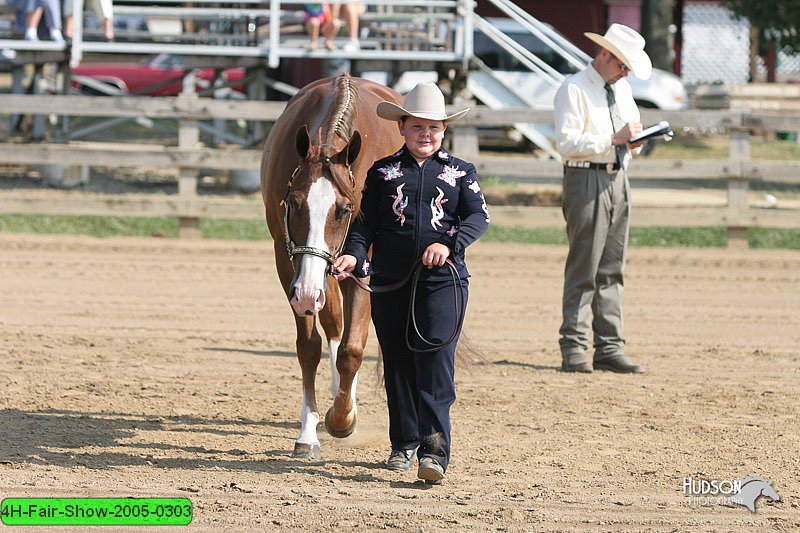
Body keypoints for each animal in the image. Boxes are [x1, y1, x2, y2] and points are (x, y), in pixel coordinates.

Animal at [260, 74, 404, 458]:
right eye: (294, 202)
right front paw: (308, 431)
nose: (307, 292)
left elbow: (353, 349)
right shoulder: (289, 263)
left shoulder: (365, 263)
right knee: (334, 325)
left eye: (343, 209)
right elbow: (309, 347)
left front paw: (343, 418)